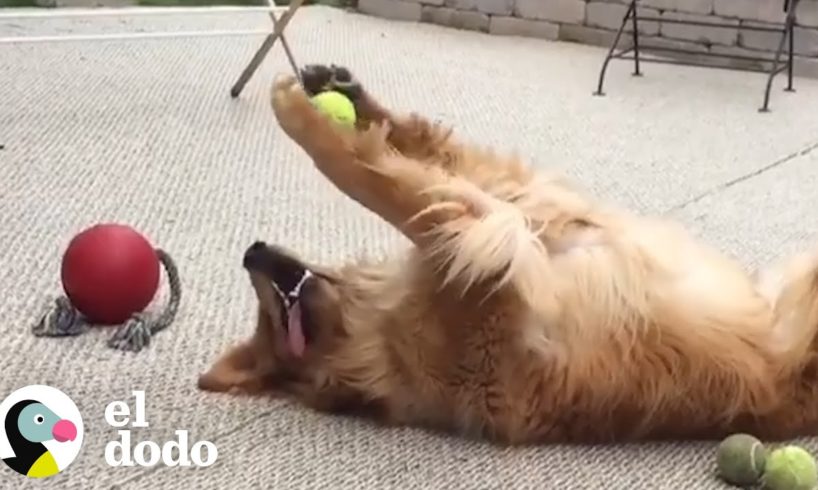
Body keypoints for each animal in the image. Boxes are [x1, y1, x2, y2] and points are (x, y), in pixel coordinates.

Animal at [199, 64, 818, 444]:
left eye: (270, 312)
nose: (251, 251)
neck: (371, 325)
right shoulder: (496, 254)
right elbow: (377, 179)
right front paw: (300, 114)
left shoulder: (520, 208)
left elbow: (414, 163)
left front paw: (346, 99)